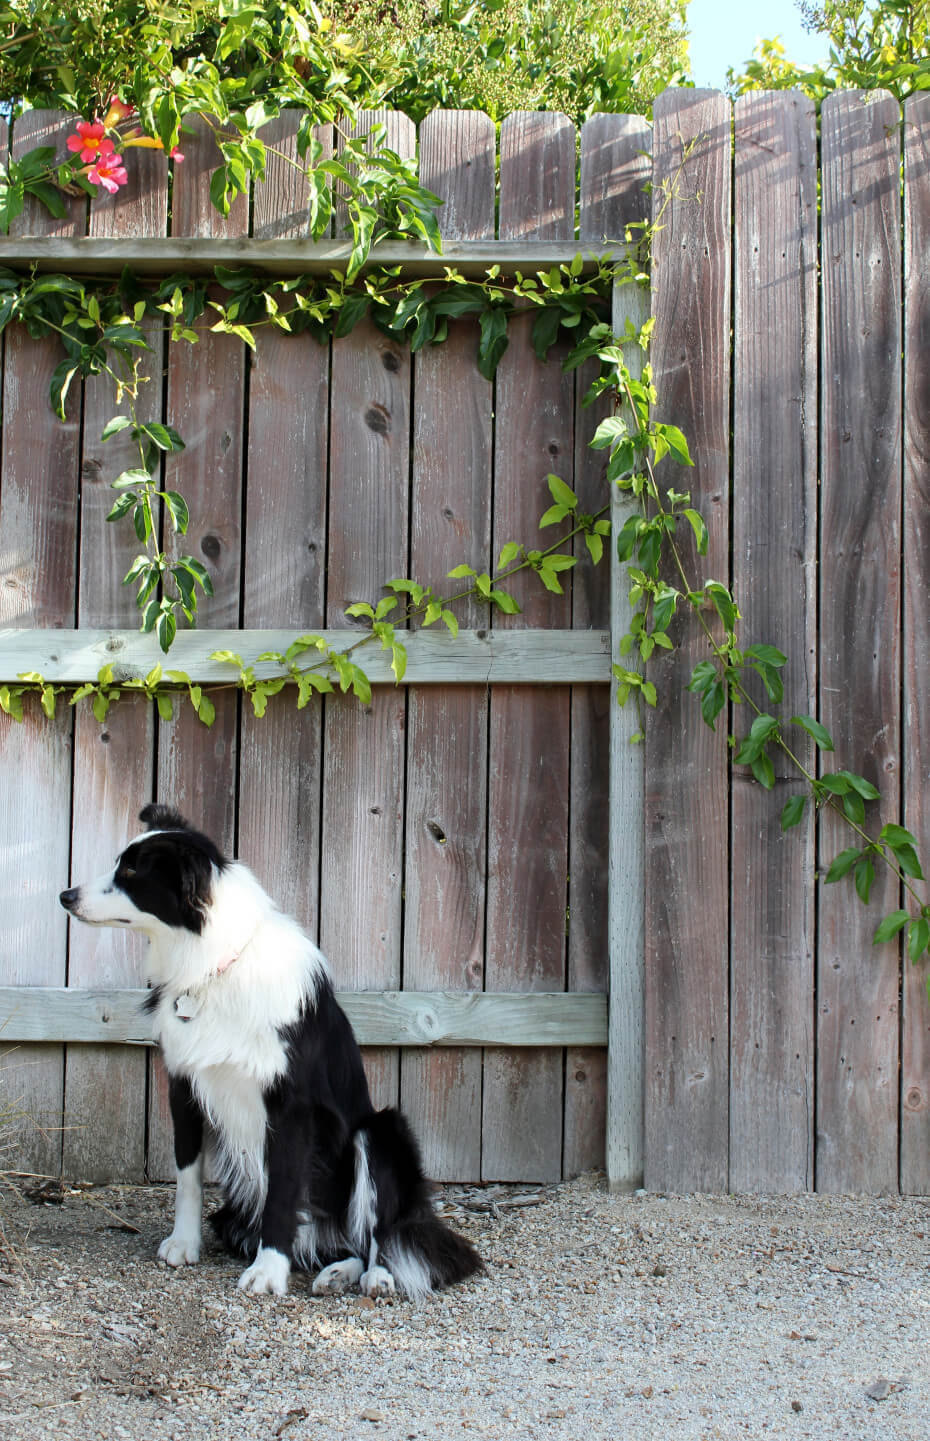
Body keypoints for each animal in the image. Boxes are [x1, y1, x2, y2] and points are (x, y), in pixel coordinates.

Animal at [59, 806, 481, 1302]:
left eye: (129, 872)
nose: (66, 895)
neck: (213, 964)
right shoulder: (183, 1086)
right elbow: (187, 1176)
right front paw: (183, 1243)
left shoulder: (290, 1105)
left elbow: (282, 1190)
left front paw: (267, 1272)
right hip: (237, 1214)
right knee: (343, 1243)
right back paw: (336, 1272)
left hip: (380, 1131)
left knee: (376, 1234)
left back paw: (375, 1277)